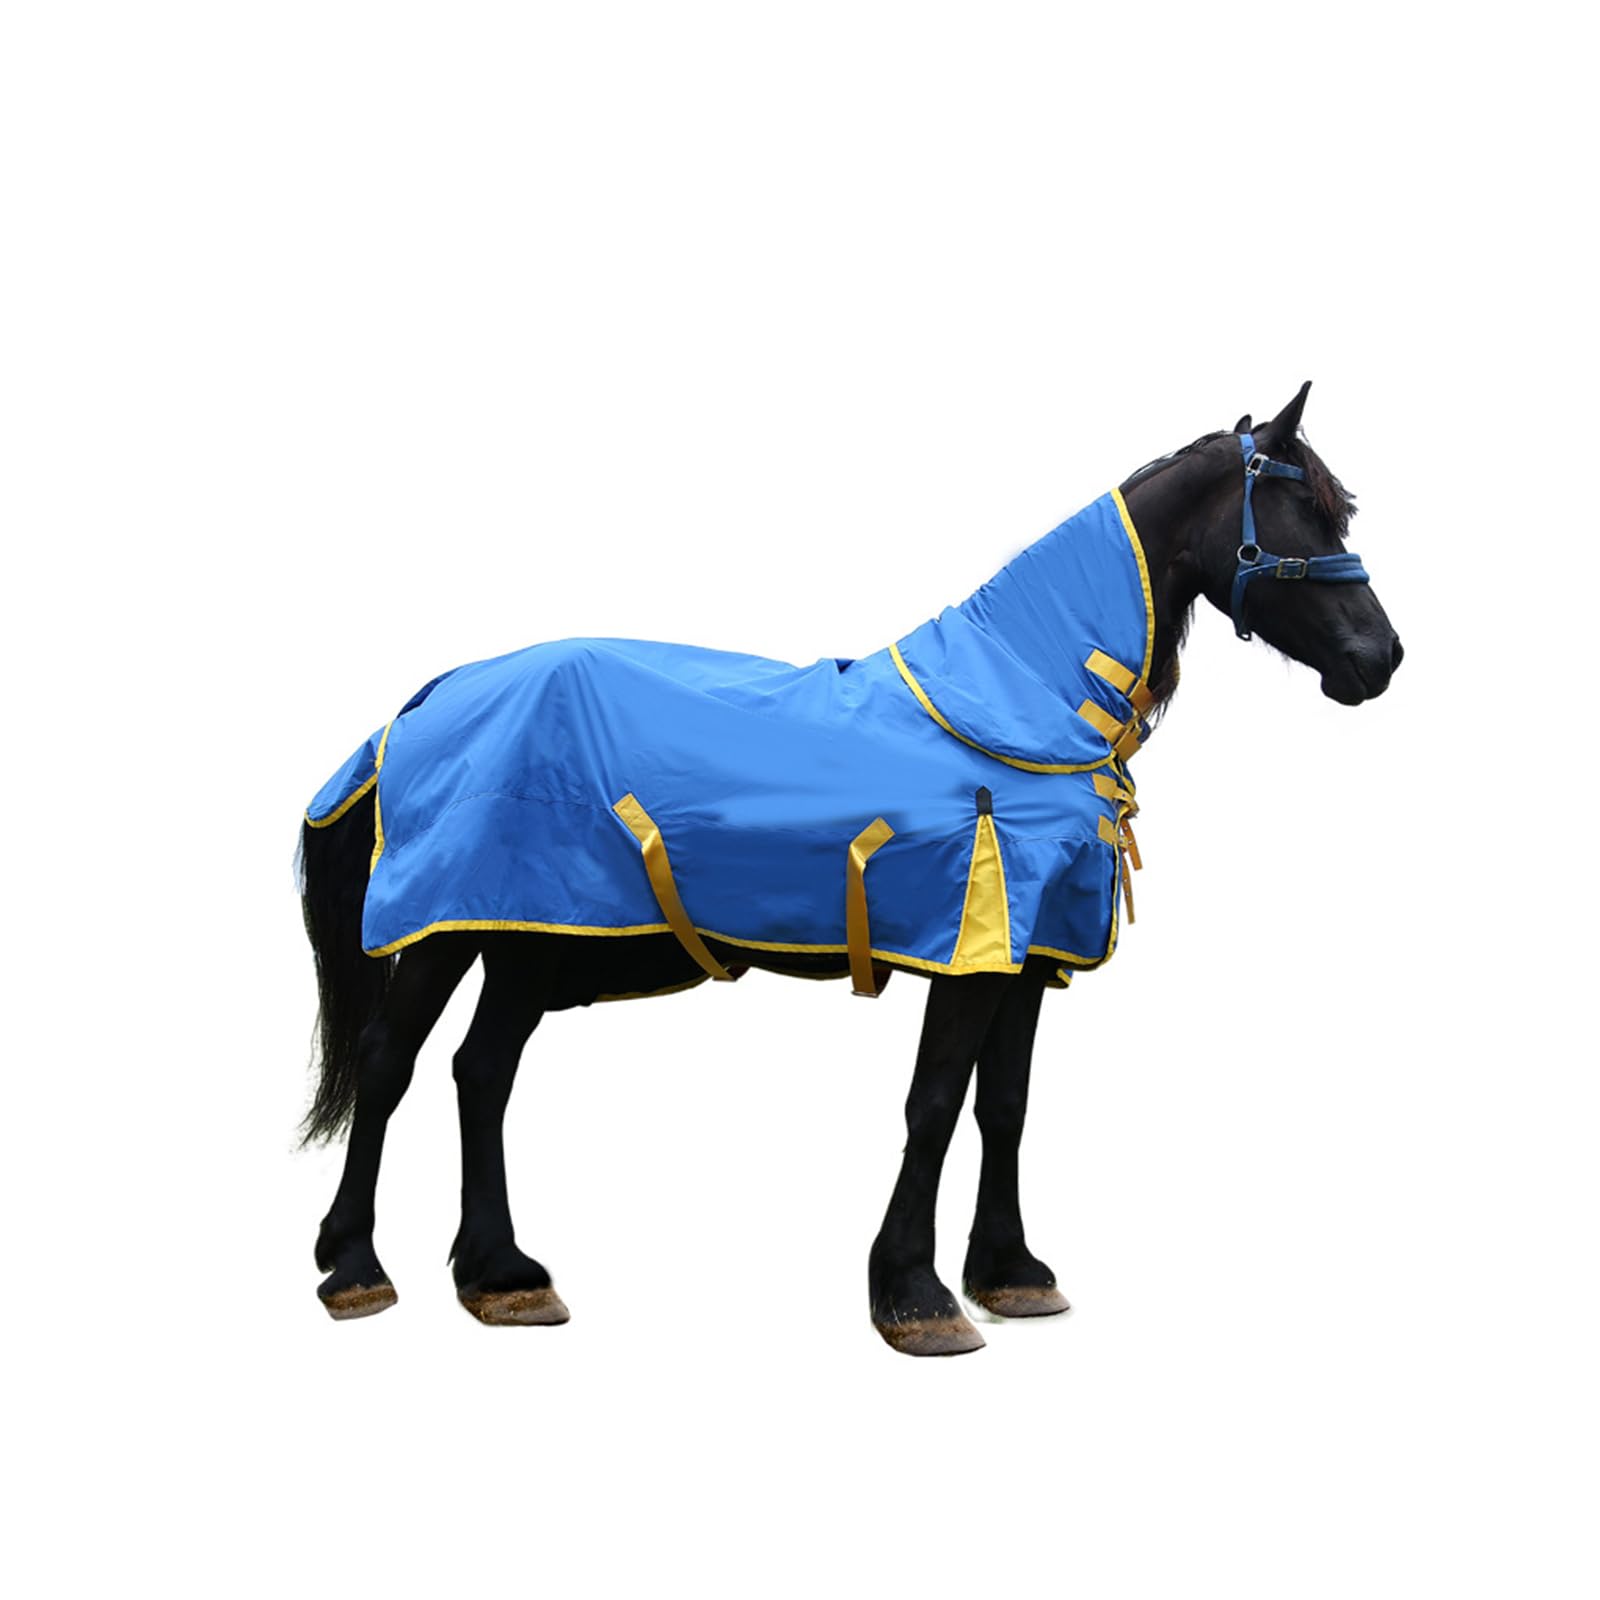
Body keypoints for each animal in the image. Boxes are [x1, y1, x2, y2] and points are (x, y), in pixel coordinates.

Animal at [297, 381, 1402, 1355]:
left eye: (1336, 506)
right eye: (1300, 508)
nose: (1382, 659)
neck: (1020, 702)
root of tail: (428, 696)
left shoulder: (1029, 953)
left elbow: (1004, 1106)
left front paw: (1010, 1271)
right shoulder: (969, 948)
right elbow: (935, 1102)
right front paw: (915, 1295)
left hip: (530, 933)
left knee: (482, 1072)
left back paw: (501, 1274)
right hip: (448, 928)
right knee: (392, 1065)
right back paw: (355, 1267)